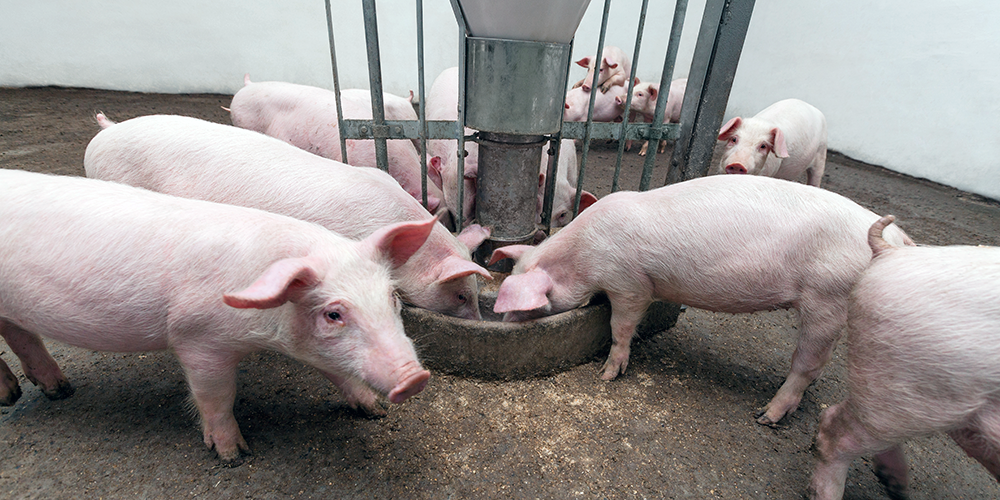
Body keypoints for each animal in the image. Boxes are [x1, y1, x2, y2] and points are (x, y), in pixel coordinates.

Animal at [0, 168, 435, 461]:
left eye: (392, 298)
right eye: (333, 314)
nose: (414, 377)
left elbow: (336, 372)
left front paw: (373, 410)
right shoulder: (197, 339)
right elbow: (216, 395)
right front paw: (234, 454)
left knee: (20, 335)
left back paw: (57, 390)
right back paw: (17, 396)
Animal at [489, 175, 914, 426]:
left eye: (526, 305)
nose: (503, 324)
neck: (583, 256)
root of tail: (897, 243)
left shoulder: (630, 283)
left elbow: (621, 326)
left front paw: (608, 374)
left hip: (827, 298)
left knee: (807, 362)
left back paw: (765, 416)